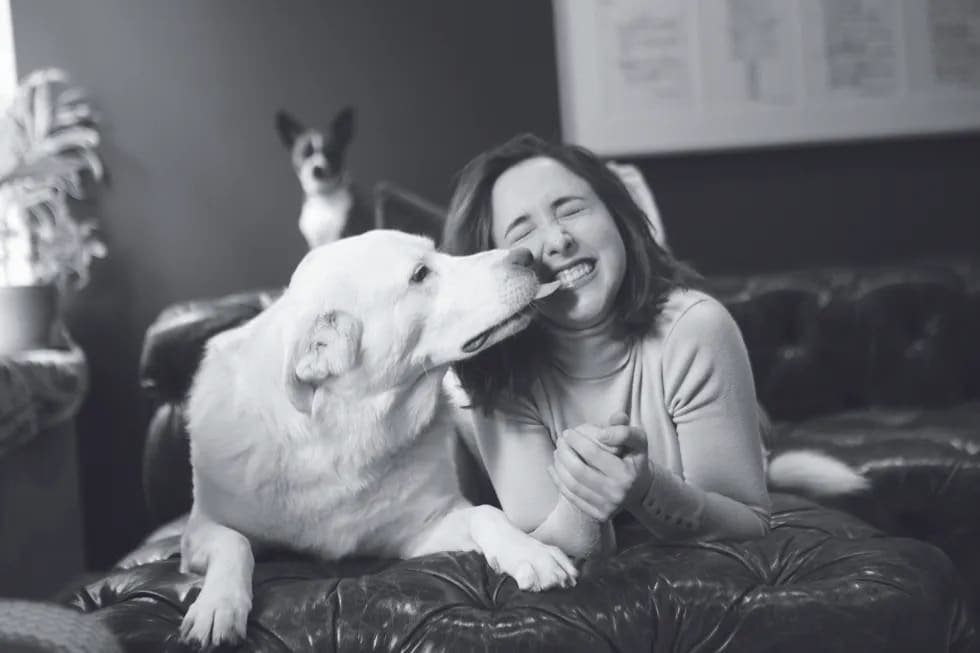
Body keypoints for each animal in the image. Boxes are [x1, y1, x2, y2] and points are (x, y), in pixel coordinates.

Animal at [180, 229, 572, 648]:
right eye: (420, 274)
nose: (528, 255)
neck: (346, 434)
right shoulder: (198, 530)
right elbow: (234, 543)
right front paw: (218, 606)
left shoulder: (422, 529)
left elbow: (487, 513)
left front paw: (530, 552)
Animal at [276, 107, 376, 250]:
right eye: (305, 154)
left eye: (331, 153)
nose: (317, 169)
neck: (322, 198)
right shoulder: (315, 245)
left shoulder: (346, 234)